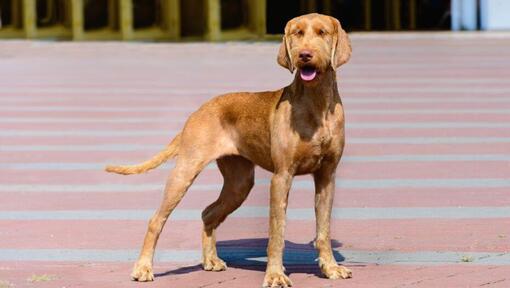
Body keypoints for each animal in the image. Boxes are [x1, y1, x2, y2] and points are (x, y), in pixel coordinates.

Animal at [105, 12, 352, 286]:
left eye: (322, 32)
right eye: (297, 33)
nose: (305, 55)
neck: (316, 102)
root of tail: (197, 111)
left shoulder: (326, 176)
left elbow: (324, 229)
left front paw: (330, 268)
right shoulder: (282, 176)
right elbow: (277, 232)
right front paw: (275, 274)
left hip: (239, 182)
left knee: (208, 213)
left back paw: (210, 260)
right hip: (185, 171)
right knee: (156, 219)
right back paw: (143, 268)